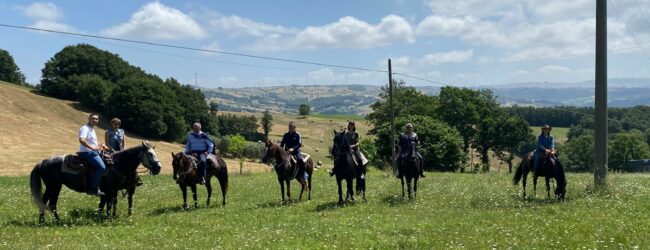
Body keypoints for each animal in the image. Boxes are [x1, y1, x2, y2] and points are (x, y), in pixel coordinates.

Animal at [30, 141, 162, 225]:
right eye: (150, 154)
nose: (158, 168)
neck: (117, 164)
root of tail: (42, 162)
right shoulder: (111, 190)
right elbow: (108, 205)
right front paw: (107, 218)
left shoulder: (108, 190)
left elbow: (103, 205)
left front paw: (101, 218)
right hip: (54, 186)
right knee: (51, 204)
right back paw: (58, 221)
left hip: (52, 187)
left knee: (44, 202)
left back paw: (42, 222)